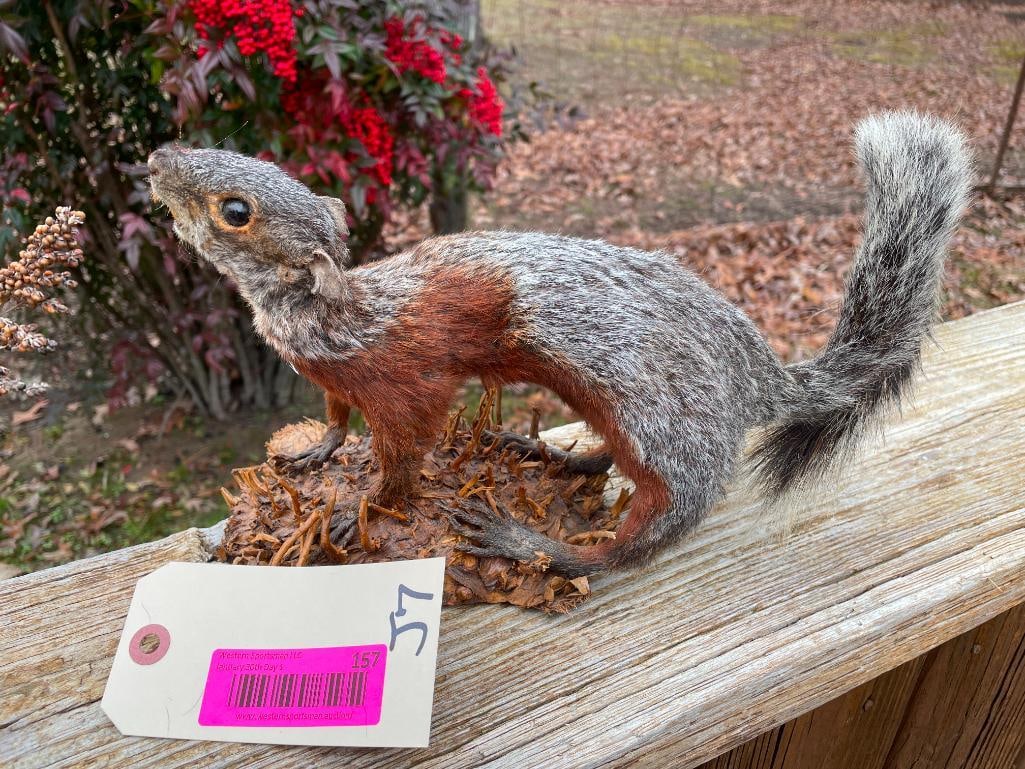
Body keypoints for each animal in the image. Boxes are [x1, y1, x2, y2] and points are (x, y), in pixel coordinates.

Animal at [148, 111, 971, 578]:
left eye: (234, 211)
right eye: (253, 164)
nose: (156, 158)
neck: (328, 312)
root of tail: (757, 375)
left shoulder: (406, 383)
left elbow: (403, 455)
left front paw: (362, 511)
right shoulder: (330, 379)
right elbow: (335, 419)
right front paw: (315, 452)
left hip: (665, 427)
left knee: (641, 536)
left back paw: (531, 542)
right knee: (607, 462)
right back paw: (548, 452)